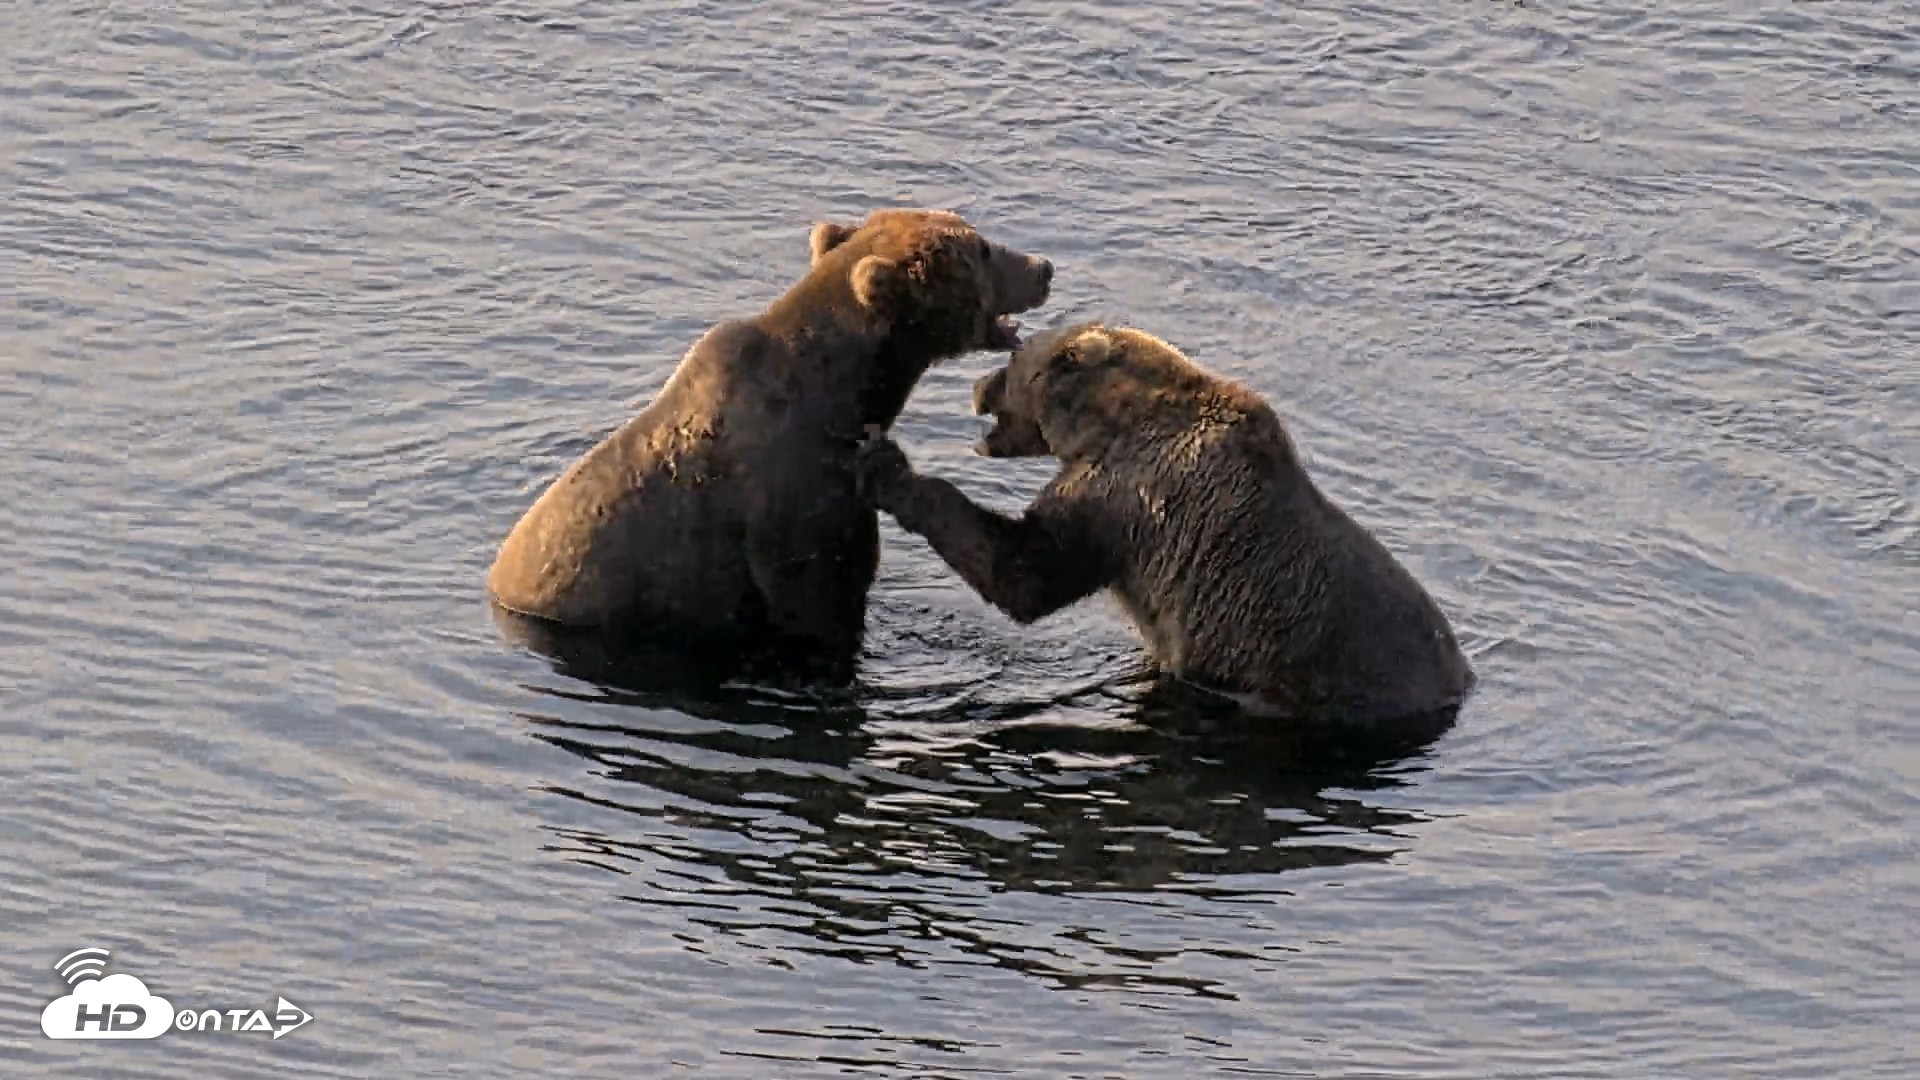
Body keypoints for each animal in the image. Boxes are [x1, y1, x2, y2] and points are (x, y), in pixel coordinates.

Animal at [856, 321, 1475, 723]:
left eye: (1013, 362)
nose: (978, 384)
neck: (1111, 421)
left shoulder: (1127, 497)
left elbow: (1028, 571)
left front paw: (888, 465)